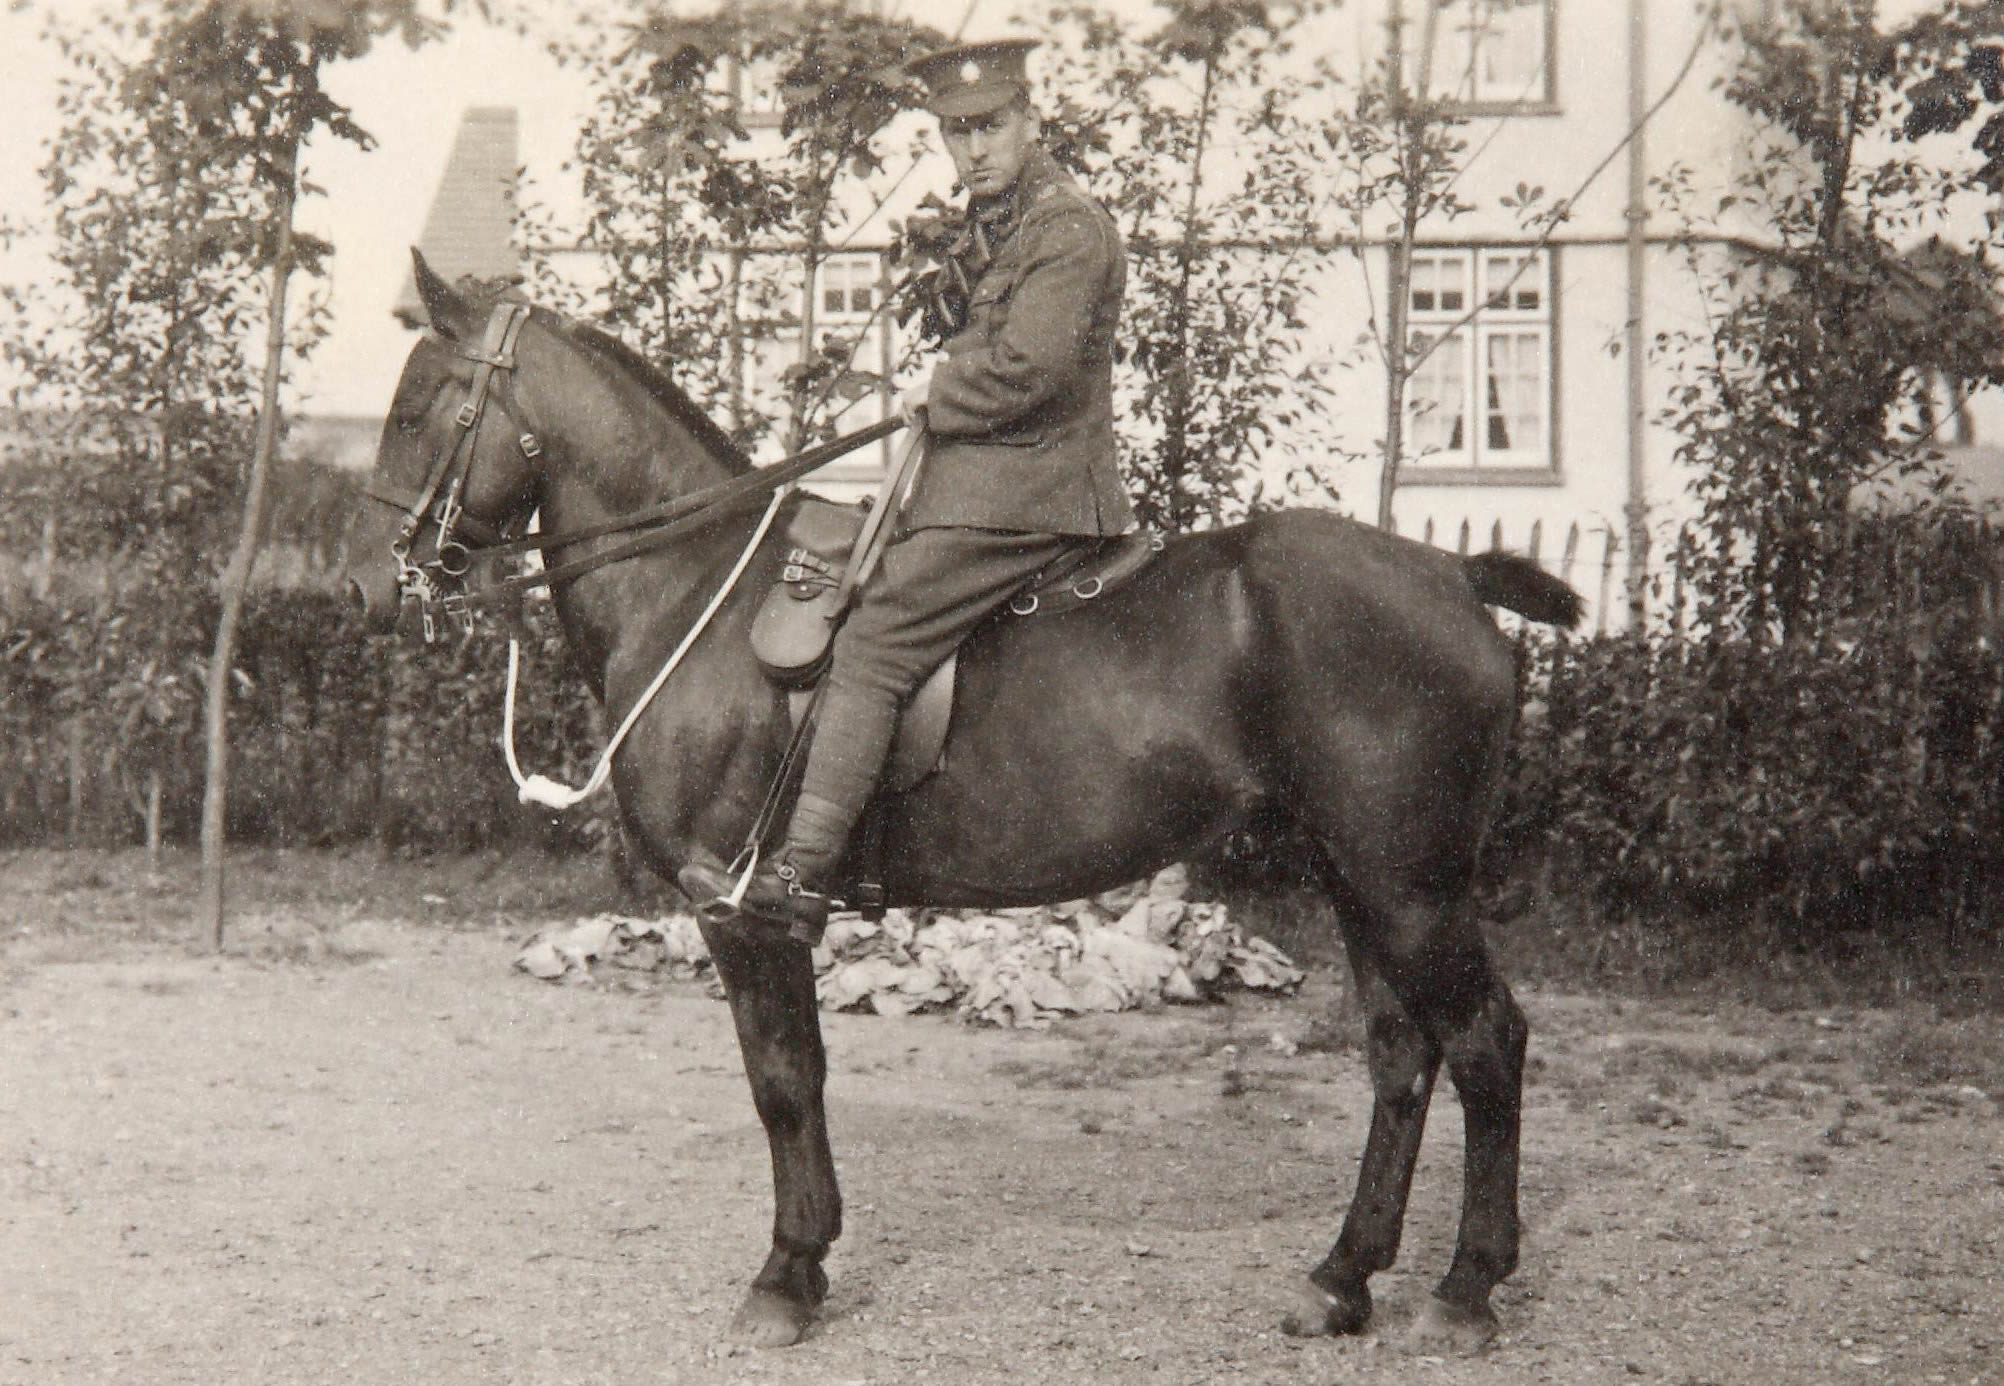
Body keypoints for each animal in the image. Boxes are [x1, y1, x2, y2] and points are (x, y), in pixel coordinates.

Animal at [348, 256, 1579, 1353]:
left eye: (415, 408)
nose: (363, 589)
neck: (697, 588)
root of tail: (1451, 572)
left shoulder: (738, 910)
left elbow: (784, 1083)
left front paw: (787, 1274)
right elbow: (798, 1078)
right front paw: (806, 1259)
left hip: (1409, 886)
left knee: (1485, 1040)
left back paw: (1465, 1291)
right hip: (1355, 877)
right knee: (1400, 1052)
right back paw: (1342, 1278)